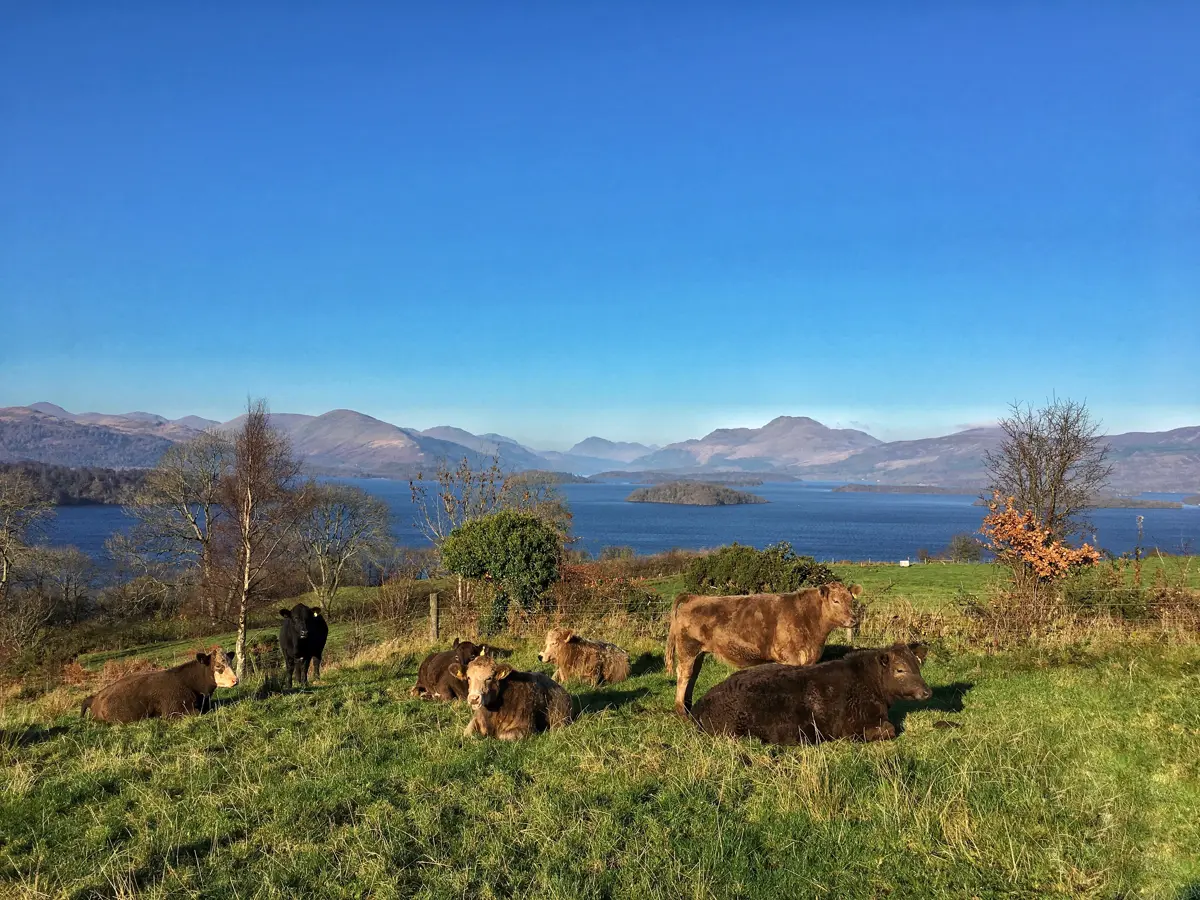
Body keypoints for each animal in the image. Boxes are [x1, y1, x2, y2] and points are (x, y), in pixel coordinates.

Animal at [665, 582, 862, 714]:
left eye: (851, 600)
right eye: (835, 601)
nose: (854, 619)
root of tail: (695, 597)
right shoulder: (790, 658)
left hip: (698, 653)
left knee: (693, 675)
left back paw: (688, 707)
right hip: (688, 649)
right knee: (684, 674)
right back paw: (682, 712)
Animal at [691, 643, 932, 745]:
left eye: (917, 665)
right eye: (900, 669)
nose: (927, 691)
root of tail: (700, 702)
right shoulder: (854, 726)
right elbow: (890, 730)